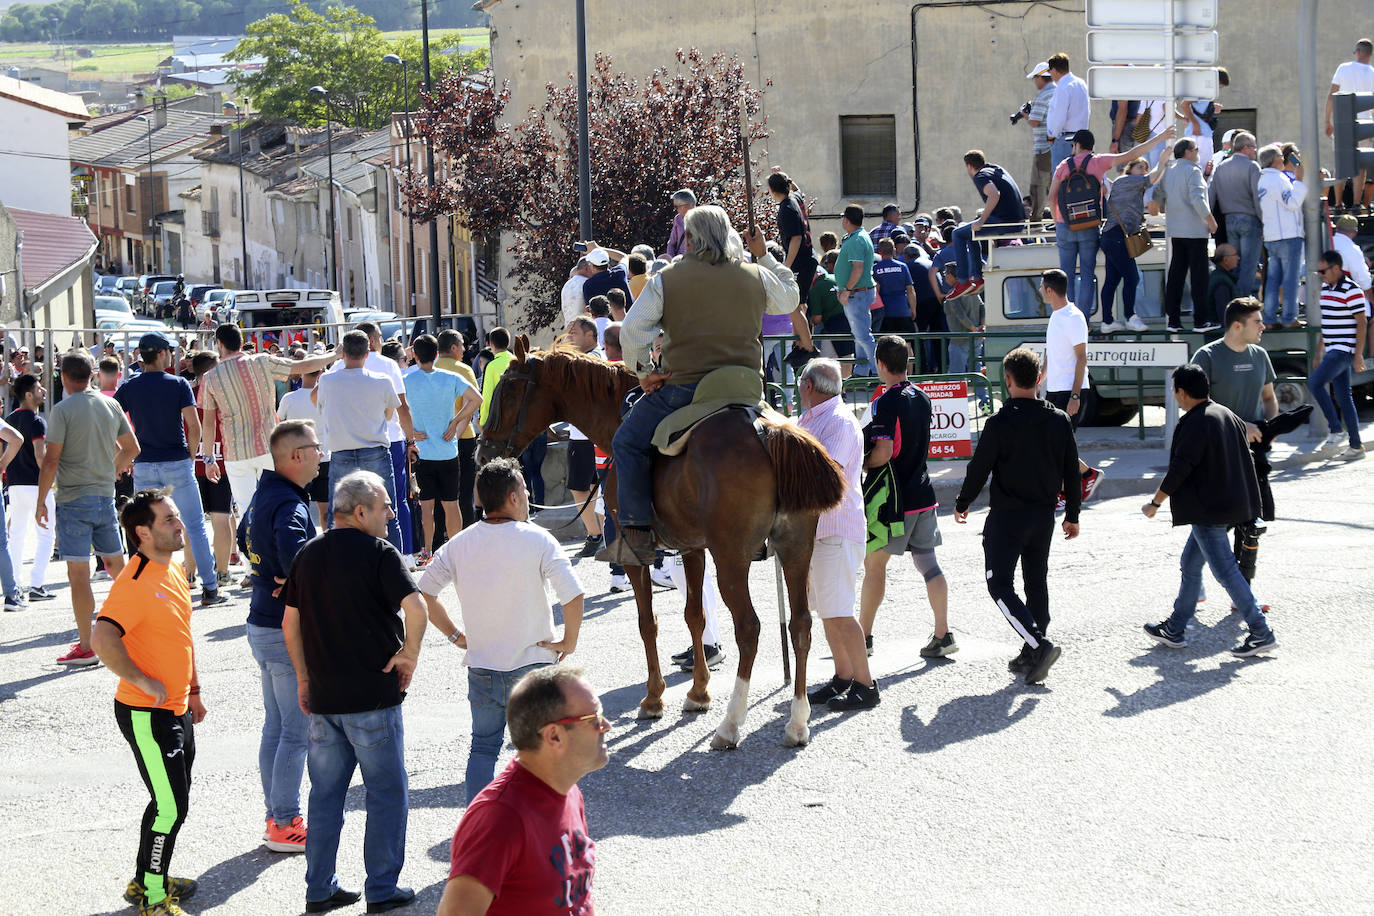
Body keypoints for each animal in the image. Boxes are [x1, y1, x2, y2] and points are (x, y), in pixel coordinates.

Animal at [483, 340, 846, 747]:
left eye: (508, 390)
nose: (483, 451)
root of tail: (768, 430)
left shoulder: (634, 553)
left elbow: (647, 622)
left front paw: (654, 698)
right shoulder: (693, 548)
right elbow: (694, 616)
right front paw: (698, 692)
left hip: (732, 559)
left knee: (749, 628)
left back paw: (731, 722)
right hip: (796, 549)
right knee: (800, 624)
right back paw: (797, 721)